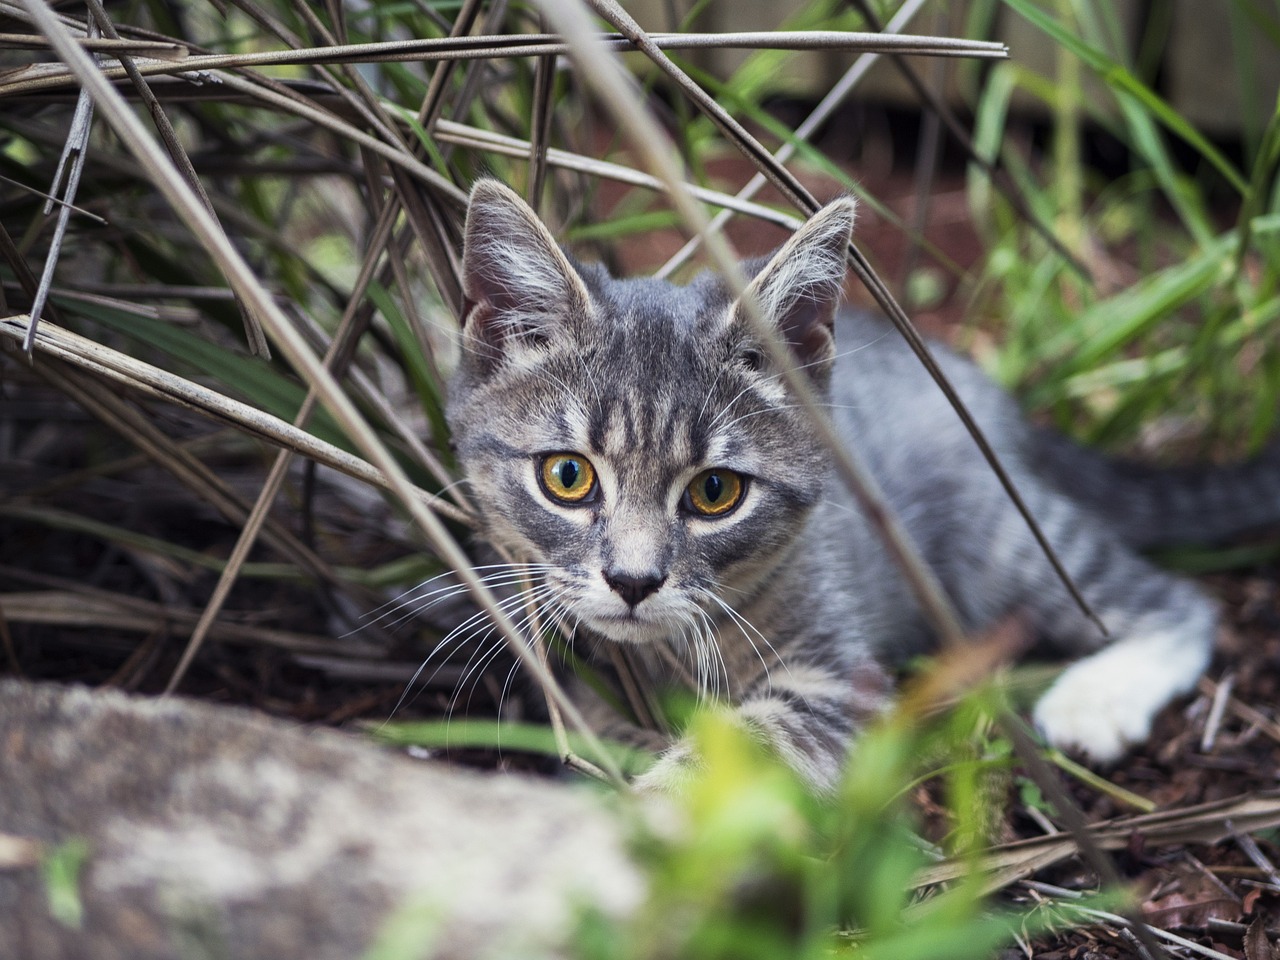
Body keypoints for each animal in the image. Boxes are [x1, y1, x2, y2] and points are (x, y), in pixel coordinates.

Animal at [448, 180, 1280, 798]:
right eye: (568, 476)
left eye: (715, 491)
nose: (632, 580)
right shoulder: (568, 674)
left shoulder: (836, 674)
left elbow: (748, 748)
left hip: (1002, 539)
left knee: (1172, 602)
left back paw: (1097, 697)